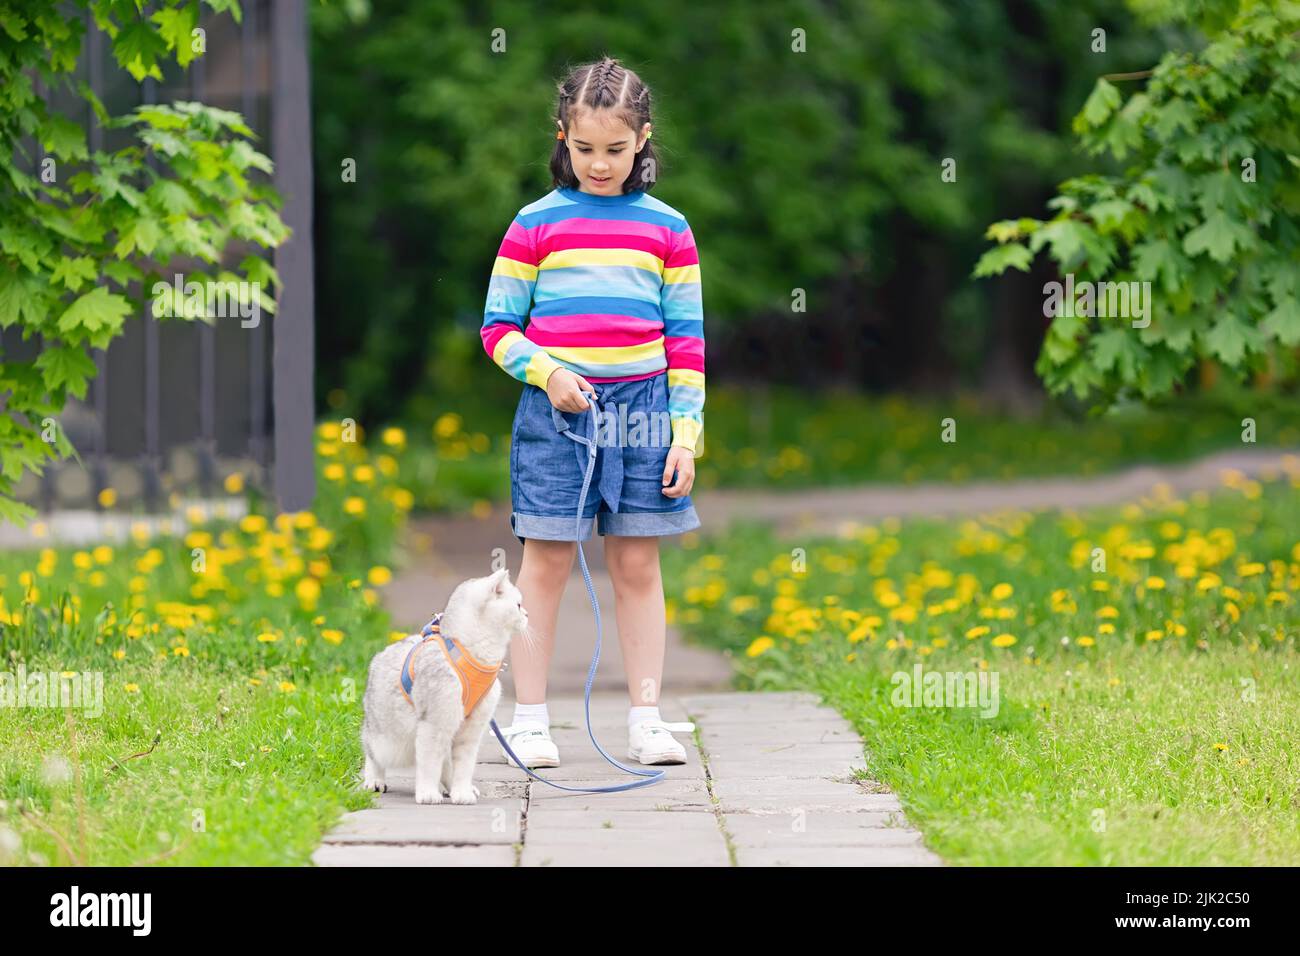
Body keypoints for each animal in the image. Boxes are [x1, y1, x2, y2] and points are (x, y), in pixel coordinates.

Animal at [361, 567, 527, 806]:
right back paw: (374, 780)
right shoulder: (434, 723)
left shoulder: (471, 730)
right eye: (518, 605)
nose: (527, 615)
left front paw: (462, 793)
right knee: (371, 752)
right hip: (389, 740)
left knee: (447, 764)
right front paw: (428, 794)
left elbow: (463, 766)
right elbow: (429, 764)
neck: (476, 655)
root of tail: (380, 654)